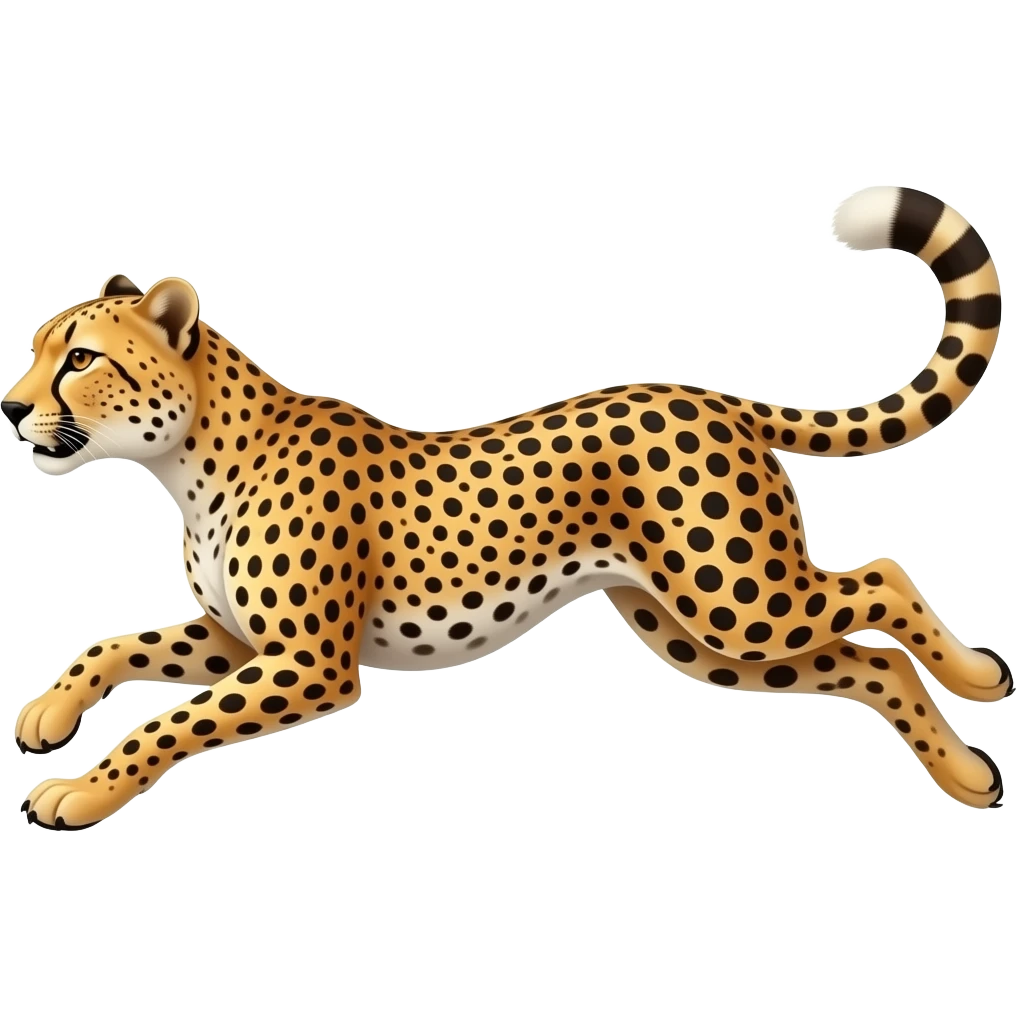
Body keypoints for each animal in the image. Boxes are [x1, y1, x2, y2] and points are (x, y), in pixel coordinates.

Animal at [7, 185, 1010, 829]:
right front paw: (46, 716)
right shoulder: (238, 640)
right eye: (37, 347)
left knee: (881, 580)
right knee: (865, 664)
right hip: (693, 629)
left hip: (738, 598)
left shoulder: (308, 662)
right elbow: (116, 644)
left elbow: (171, 720)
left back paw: (975, 675)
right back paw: (967, 770)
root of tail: (712, 397)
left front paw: (79, 791)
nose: (12, 407)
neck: (191, 461)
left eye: (81, 358)